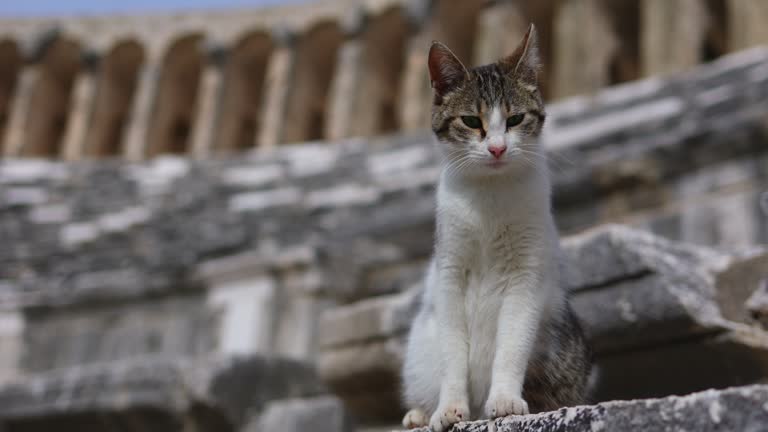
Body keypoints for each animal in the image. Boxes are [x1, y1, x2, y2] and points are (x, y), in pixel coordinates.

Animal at [400, 24, 592, 432]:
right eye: (472, 121)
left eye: (515, 119)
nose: (498, 148)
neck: (489, 193)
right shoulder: (450, 272)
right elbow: (453, 352)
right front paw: (449, 409)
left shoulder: (526, 274)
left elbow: (512, 344)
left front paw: (505, 400)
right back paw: (418, 413)